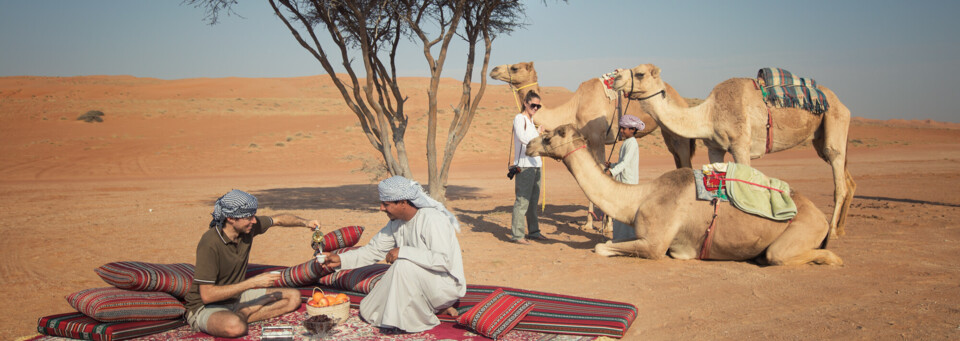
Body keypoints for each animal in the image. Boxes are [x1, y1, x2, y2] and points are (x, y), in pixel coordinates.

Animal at [492, 61, 692, 231]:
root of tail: (680, 97)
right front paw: (591, 223)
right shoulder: (587, 139)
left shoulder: (598, 138)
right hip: (667, 132)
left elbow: (602, 170)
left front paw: (604, 225)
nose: (493, 70)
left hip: (677, 130)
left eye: (515, 68)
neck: (574, 108)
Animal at [524, 124, 840, 266]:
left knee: (781, 255)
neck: (638, 198)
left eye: (550, 136)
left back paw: (831, 258)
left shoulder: (655, 244)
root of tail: (820, 217)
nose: (529, 145)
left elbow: (602, 247)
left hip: (802, 230)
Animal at [608, 64, 856, 239]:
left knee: (839, 179)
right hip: (820, 137)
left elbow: (747, 186)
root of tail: (842, 104)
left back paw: (833, 231)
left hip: (835, 122)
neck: (708, 114)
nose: (617, 77)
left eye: (640, 73)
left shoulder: (741, 145)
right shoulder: (715, 148)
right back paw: (843, 227)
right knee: (846, 177)